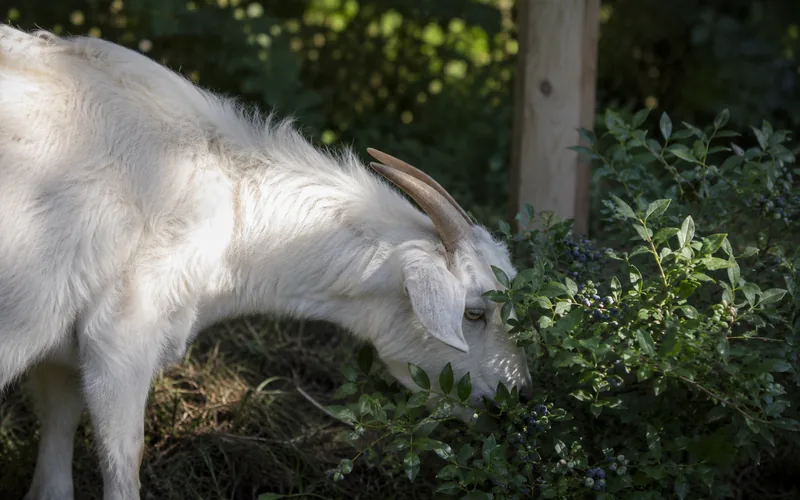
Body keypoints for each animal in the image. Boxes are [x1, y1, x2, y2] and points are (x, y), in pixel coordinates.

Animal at [0, 24, 533, 500]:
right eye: (474, 313)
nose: (521, 396)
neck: (230, 209)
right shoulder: (121, 338)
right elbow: (123, 466)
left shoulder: (62, 354)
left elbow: (54, 468)